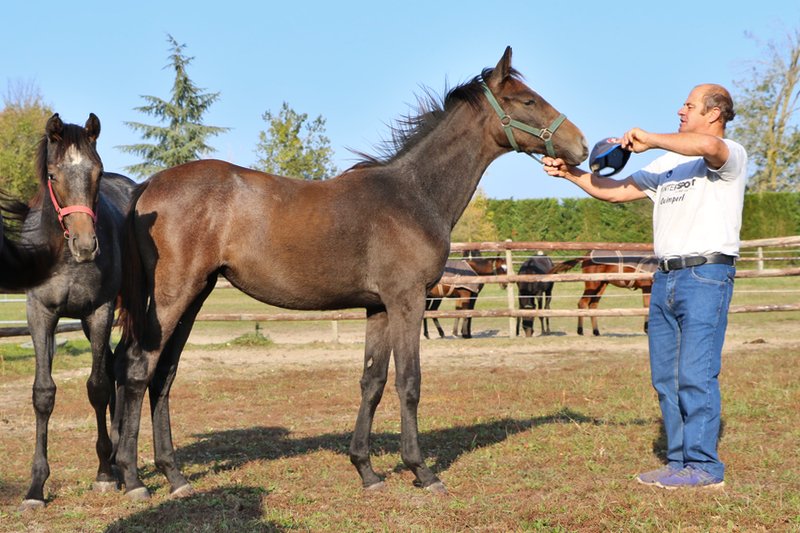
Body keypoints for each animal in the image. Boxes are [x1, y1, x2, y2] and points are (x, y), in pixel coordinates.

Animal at [19, 113, 137, 511]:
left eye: (97, 172)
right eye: (53, 175)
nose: (86, 245)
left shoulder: (99, 311)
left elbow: (97, 387)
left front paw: (104, 474)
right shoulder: (40, 314)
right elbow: (43, 394)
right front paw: (35, 488)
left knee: (118, 369)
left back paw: (116, 460)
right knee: (115, 365)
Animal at [112, 47, 587, 499]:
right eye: (527, 100)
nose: (581, 145)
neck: (414, 195)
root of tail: (147, 187)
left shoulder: (378, 308)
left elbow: (372, 381)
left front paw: (367, 471)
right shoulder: (407, 300)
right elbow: (409, 381)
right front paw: (422, 471)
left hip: (196, 295)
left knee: (163, 375)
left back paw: (173, 476)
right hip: (174, 295)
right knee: (138, 367)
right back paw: (132, 479)